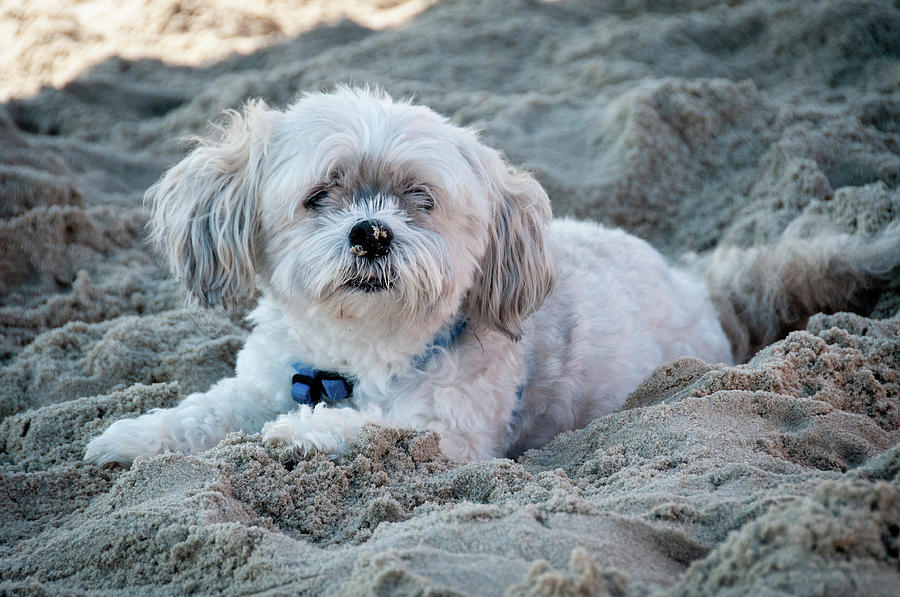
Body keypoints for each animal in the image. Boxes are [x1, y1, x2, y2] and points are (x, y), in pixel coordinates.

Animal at [88, 86, 900, 464]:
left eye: (419, 199)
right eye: (322, 194)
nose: (372, 232)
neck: (352, 352)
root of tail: (698, 286)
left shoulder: (446, 431)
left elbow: (363, 424)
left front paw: (300, 433)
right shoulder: (264, 378)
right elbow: (204, 412)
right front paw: (133, 436)